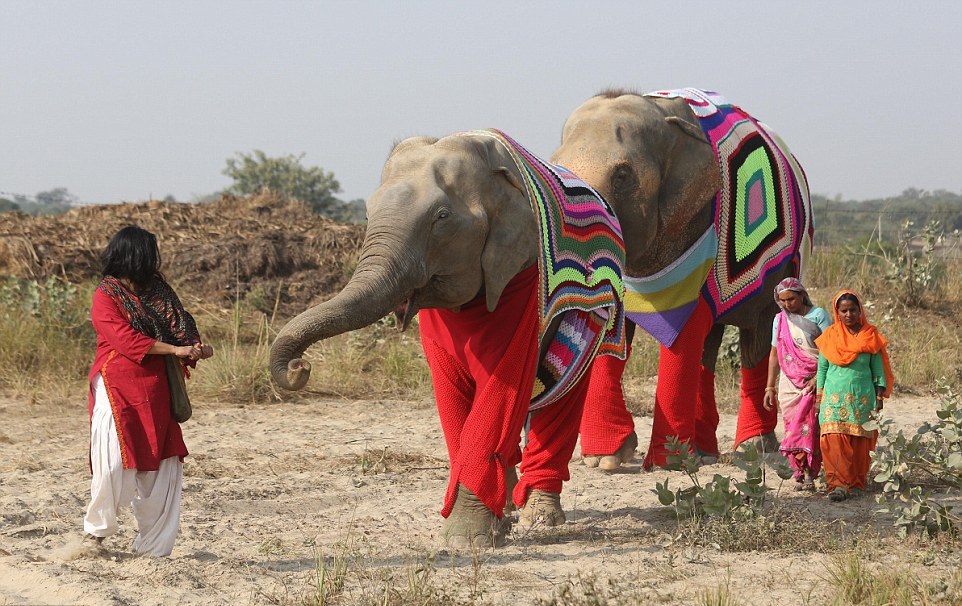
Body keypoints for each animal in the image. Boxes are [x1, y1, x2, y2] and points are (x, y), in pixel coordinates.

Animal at [266, 129, 628, 552]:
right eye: (368, 215)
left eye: (442, 217)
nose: (300, 366)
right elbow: (453, 397)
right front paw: (486, 527)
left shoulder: (520, 283)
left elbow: (500, 391)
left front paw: (466, 539)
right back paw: (507, 508)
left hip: (589, 316)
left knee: (561, 394)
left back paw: (541, 517)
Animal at [552, 89, 812, 470]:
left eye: (622, 176)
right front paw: (606, 459)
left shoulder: (696, 230)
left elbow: (684, 330)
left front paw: (668, 462)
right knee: (711, 344)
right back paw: (705, 450)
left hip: (781, 269)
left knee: (757, 339)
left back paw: (754, 447)